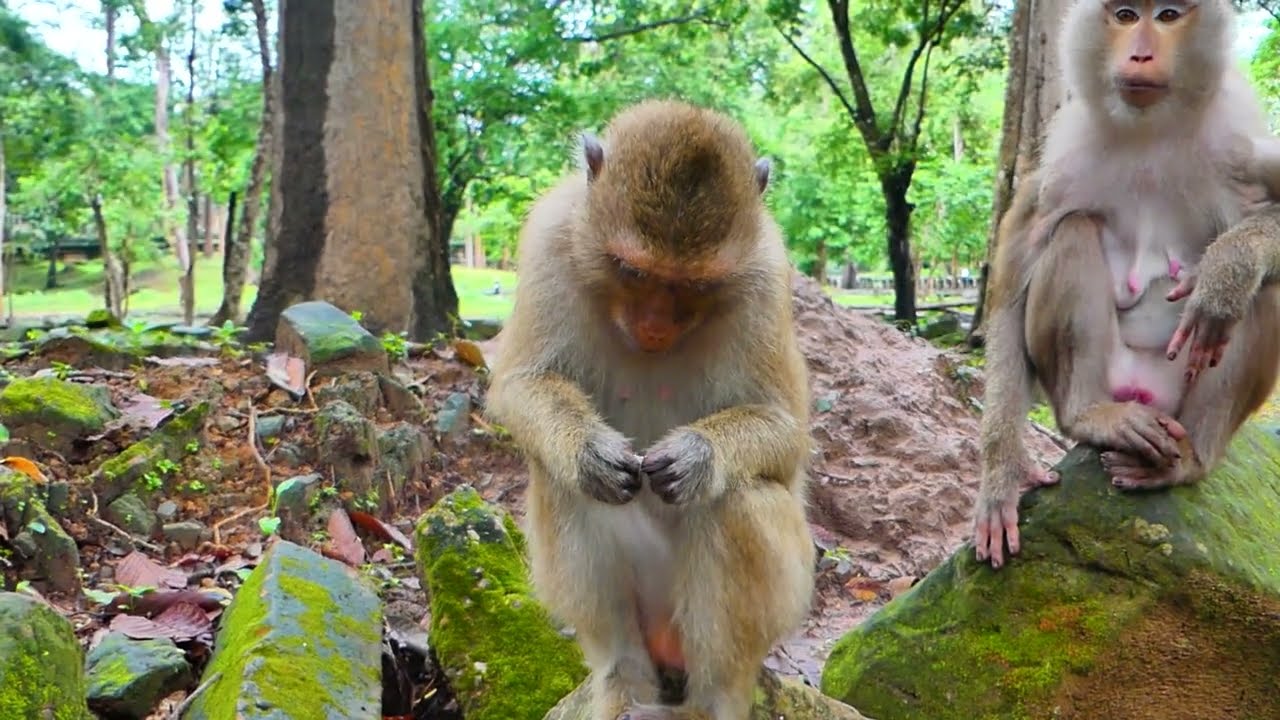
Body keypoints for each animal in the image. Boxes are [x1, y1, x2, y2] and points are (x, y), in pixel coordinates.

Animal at [484, 99, 816, 720]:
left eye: (696, 285)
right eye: (633, 271)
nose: (656, 325)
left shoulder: (766, 275)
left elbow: (786, 432)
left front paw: (698, 456)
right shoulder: (551, 236)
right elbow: (520, 384)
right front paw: (587, 451)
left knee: (736, 501)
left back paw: (711, 701)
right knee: (564, 483)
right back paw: (625, 681)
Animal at [974, 0, 1280, 569]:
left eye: (1167, 15)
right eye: (1124, 14)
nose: (1140, 52)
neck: (1149, 129)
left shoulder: (1239, 144)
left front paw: (1224, 271)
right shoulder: (1065, 156)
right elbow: (1011, 287)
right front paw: (1002, 476)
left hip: (1174, 402)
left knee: (1266, 288)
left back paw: (1190, 459)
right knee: (1072, 229)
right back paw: (1090, 415)